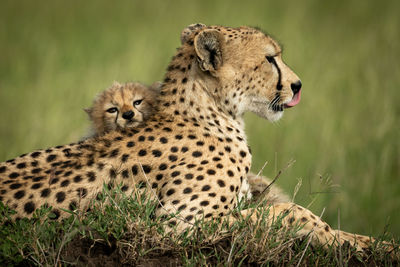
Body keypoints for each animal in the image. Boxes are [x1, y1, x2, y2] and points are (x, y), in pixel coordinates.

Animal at [0, 23, 396, 253]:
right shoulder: (177, 225)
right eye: (270, 59)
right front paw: (338, 237)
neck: (210, 112)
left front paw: (371, 242)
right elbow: (288, 211)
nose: (297, 85)